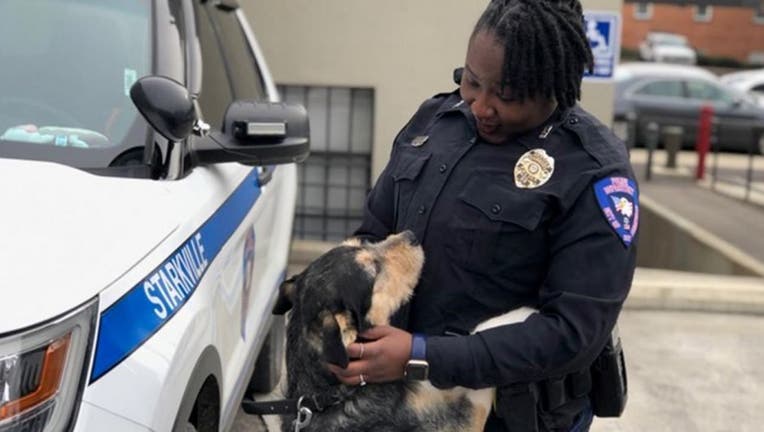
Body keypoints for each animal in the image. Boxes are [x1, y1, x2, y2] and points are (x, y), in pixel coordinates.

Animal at [272, 233, 536, 432]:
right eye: (374, 270)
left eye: (359, 242)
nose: (411, 235)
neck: (331, 396)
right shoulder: (461, 416)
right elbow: (477, 346)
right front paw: (523, 313)